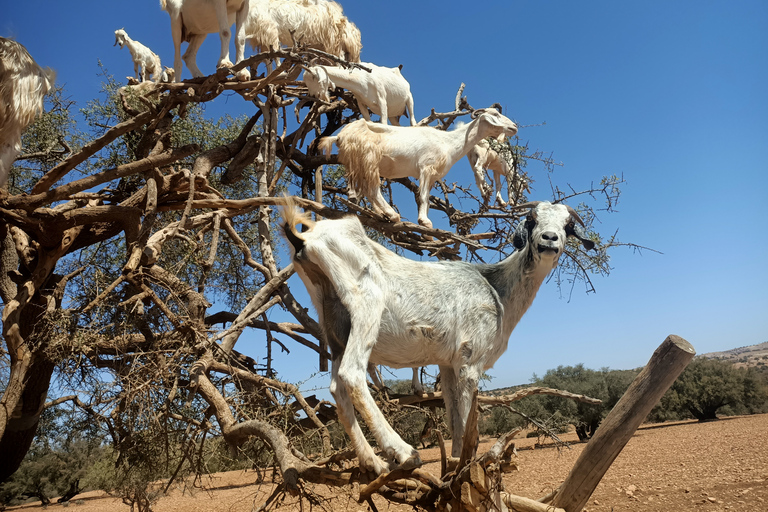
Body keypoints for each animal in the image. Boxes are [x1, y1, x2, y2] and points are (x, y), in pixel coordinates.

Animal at [318, 109, 516, 229]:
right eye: (495, 113)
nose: (514, 126)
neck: (448, 142)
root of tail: (340, 136)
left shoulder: (432, 175)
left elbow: (426, 198)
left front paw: (424, 220)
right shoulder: (426, 168)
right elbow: (423, 196)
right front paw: (424, 221)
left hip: (359, 165)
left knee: (361, 191)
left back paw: (380, 213)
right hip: (369, 160)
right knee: (373, 190)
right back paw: (392, 215)